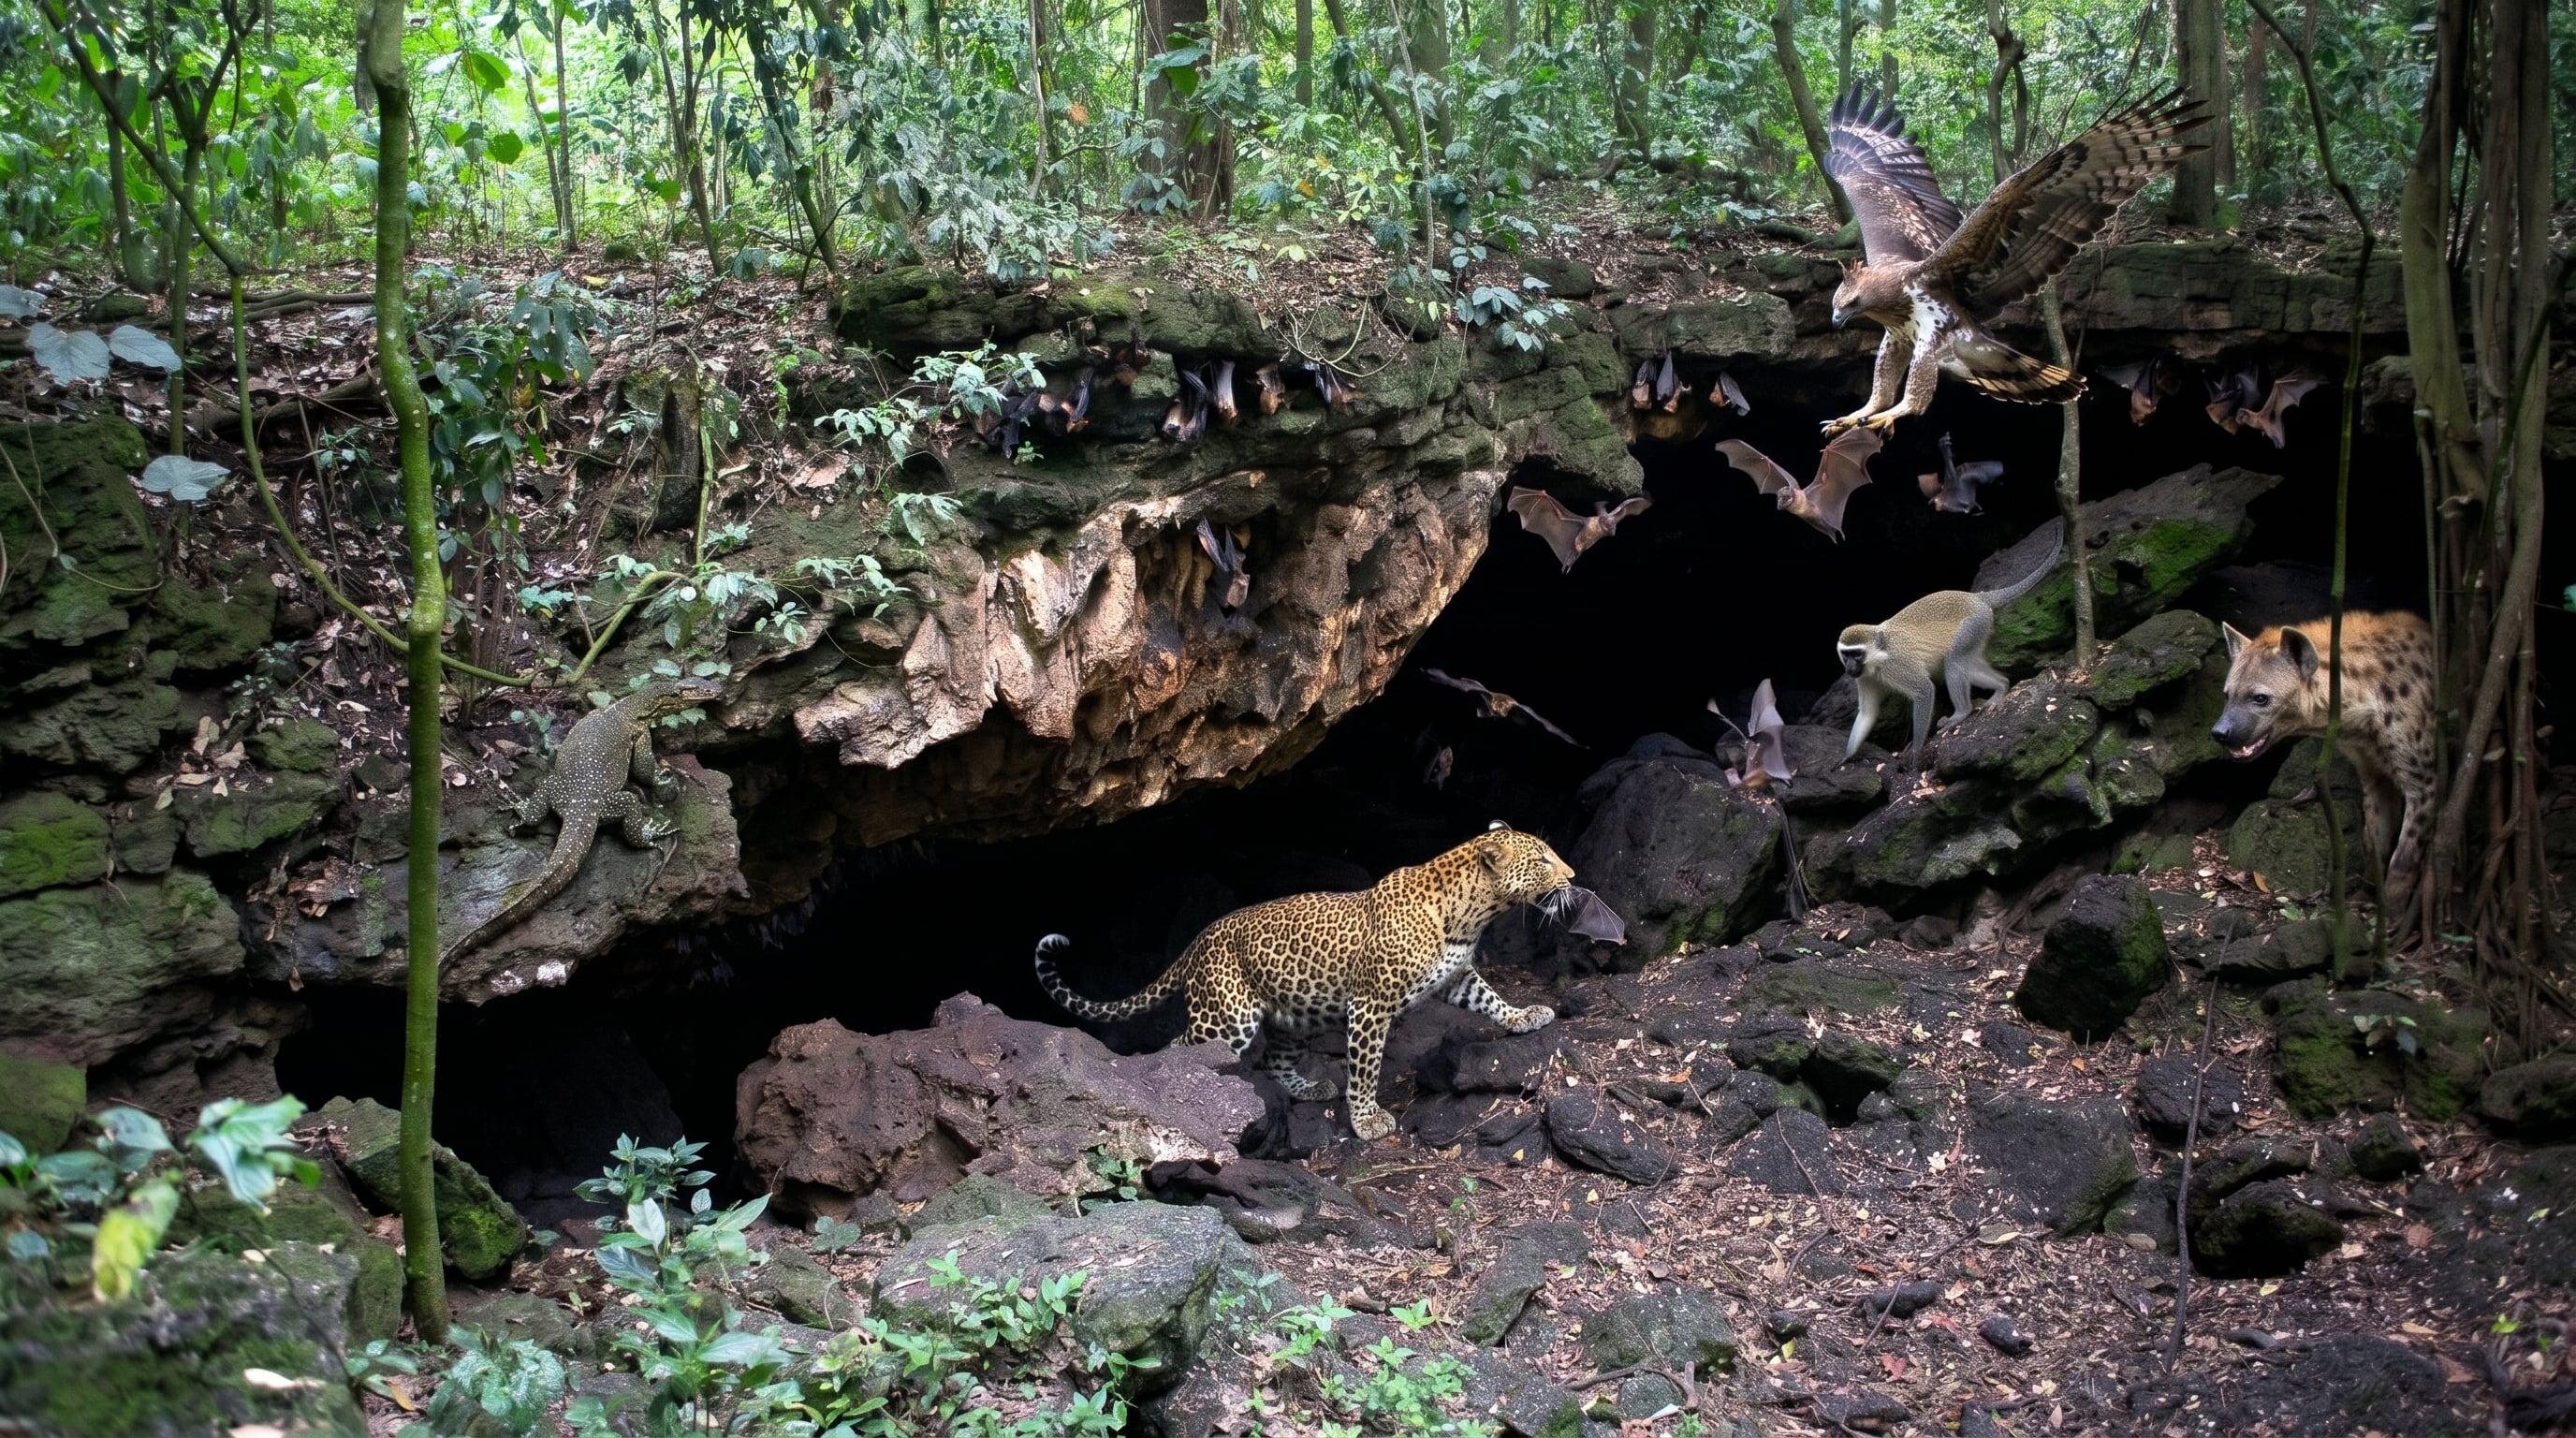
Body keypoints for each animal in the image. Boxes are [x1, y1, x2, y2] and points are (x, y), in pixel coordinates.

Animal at [1504, 486, 1653, 571]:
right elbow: (1558, 513)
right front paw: (1543, 494)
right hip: (1575, 545)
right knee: (1573, 552)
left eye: (1614, 524)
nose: (1613, 532)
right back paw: (1567, 566)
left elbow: (1632, 503)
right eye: (1607, 523)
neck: (1597, 527)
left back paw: (1568, 566)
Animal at [1715, 428, 1881, 543]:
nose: (1779, 505)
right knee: (1827, 530)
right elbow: (1765, 460)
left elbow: (1829, 451)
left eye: (1787, 497)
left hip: (1824, 519)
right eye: (1778, 497)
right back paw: (1833, 537)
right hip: (1816, 523)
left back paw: (1839, 534)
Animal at [1834, 522, 2066, 767]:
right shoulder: (1864, 677)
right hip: (1980, 629)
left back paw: (1962, 712)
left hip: (1973, 625)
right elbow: (1867, 713)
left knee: (1954, 661)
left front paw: (1916, 750)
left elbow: (1924, 691)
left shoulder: (1897, 665)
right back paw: (2001, 687)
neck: (1878, 656)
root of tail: (1977, 598)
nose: (1850, 667)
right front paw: (1847, 756)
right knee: (1967, 664)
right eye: (1846, 655)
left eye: (1857, 654)